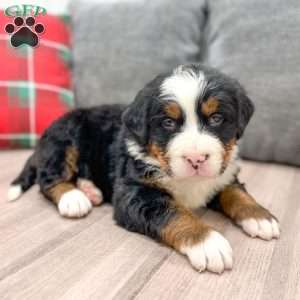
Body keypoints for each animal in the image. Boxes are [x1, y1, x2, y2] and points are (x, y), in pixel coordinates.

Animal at [8, 64, 278, 274]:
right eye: (168, 122)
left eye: (216, 118)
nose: (196, 159)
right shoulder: (135, 191)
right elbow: (173, 212)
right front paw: (207, 242)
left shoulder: (224, 174)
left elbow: (236, 192)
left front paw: (259, 216)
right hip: (65, 138)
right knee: (49, 179)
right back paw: (74, 198)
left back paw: (90, 190)